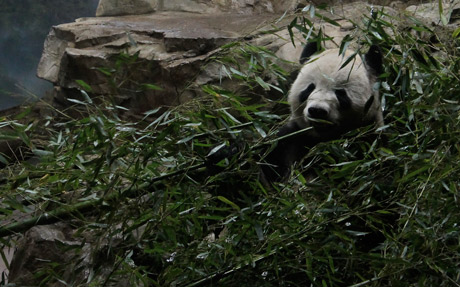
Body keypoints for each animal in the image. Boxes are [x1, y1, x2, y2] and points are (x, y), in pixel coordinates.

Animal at [262, 41, 384, 183]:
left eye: (340, 93)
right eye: (310, 88)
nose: (317, 110)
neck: (322, 138)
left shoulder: (367, 140)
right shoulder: (294, 136)